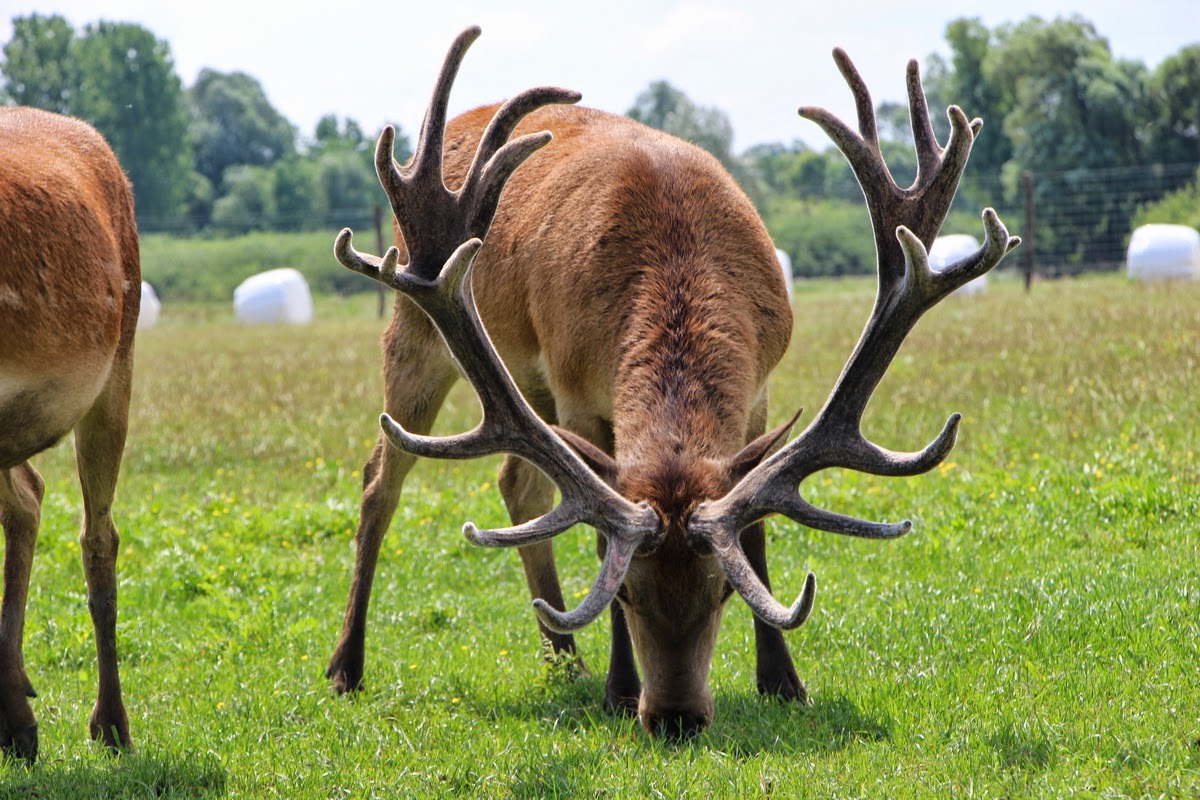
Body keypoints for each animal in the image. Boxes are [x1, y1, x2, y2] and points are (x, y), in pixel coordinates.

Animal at [326, 26, 1012, 738]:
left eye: (724, 591)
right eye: (626, 592)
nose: (677, 716)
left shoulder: (760, 389)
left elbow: (756, 532)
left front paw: (783, 681)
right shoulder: (578, 394)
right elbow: (601, 531)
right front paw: (620, 690)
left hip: (521, 379)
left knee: (517, 483)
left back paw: (564, 658)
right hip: (416, 324)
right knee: (380, 480)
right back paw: (347, 666)